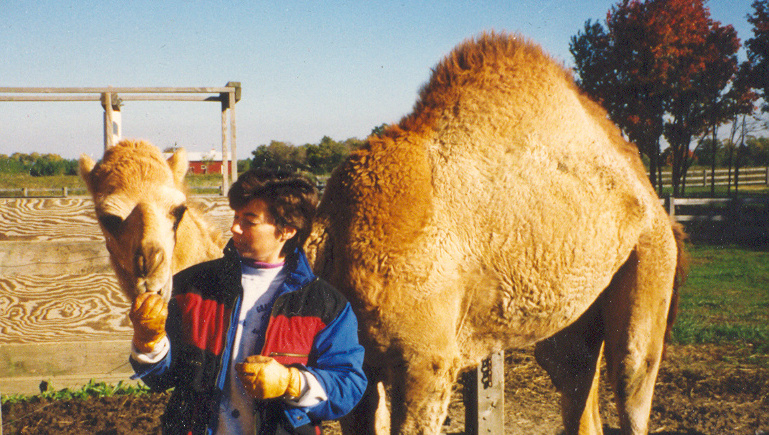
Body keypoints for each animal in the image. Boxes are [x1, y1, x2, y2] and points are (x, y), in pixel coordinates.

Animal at [304, 32, 688, 435]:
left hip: (651, 258)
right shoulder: (362, 366)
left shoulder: (425, 361)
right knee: (574, 374)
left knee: (632, 372)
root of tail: (654, 201)